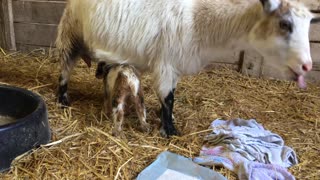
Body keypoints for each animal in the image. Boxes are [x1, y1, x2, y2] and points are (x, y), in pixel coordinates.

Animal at [55, 0, 316, 137]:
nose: (307, 65)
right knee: (65, 69)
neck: (201, 21)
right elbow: (168, 98)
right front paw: (170, 131)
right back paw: (62, 99)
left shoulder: (174, 67)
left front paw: (166, 122)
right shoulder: (166, 64)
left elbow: (170, 97)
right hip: (71, 33)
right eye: (285, 24)